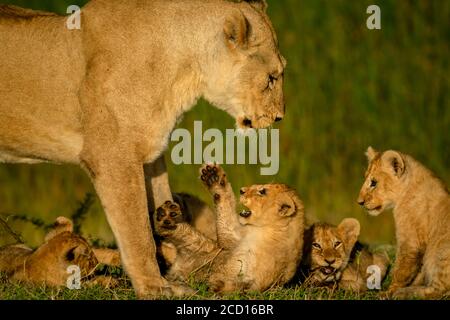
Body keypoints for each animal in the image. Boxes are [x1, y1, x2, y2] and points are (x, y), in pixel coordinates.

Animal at [0, 0, 286, 298]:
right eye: (272, 78)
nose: (279, 117)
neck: (185, 72)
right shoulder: (113, 157)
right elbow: (138, 234)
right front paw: (154, 286)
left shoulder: (152, 154)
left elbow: (160, 200)